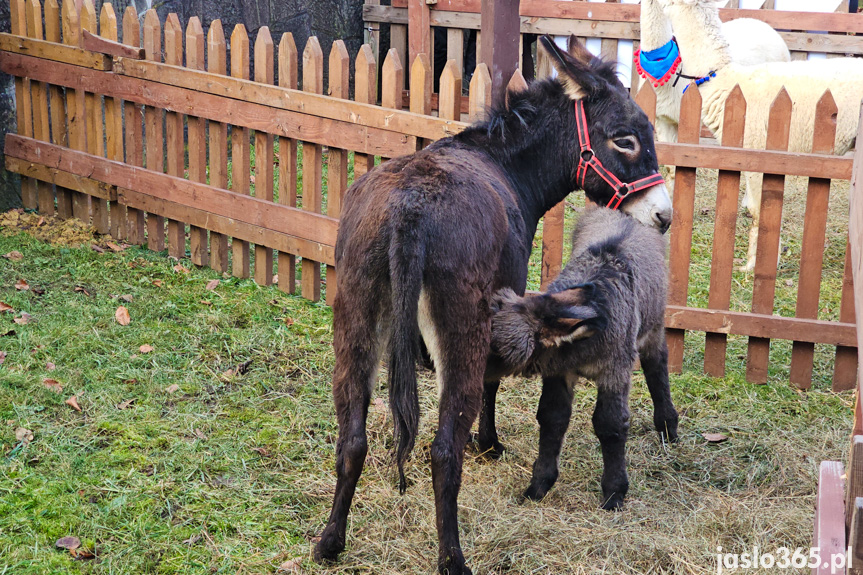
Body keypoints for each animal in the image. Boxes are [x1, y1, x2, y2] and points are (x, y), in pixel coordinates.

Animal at [490, 208, 680, 512]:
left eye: (498, 350)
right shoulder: (559, 372)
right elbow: (552, 417)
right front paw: (538, 486)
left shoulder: (615, 370)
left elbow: (610, 424)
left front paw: (614, 494)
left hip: (653, 324)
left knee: (657, 365)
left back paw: (667, 427)